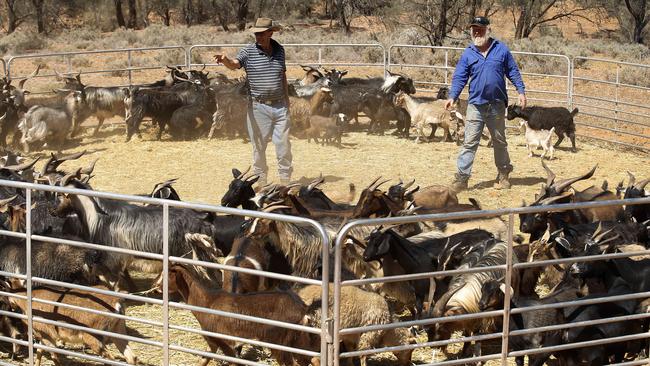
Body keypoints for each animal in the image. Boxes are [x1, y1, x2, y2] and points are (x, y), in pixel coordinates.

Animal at [2, 286, 136, 366]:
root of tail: (116, 302)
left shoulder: (46, 335)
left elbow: (54, 354)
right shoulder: (43, 335)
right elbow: (40, 351)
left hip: (94, 337)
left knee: (111, 358)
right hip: (118, 329)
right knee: (131, 357)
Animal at [158, 264, 318, 364]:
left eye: (167, 276)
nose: (157, 287)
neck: (207, 302)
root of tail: (302, 309)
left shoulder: (225, 342)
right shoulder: (213, 342)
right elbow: (204, 359)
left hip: (279, 342)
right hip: (298, 340)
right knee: (312, 359)